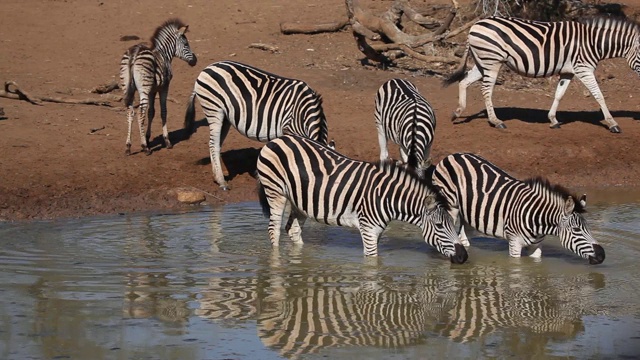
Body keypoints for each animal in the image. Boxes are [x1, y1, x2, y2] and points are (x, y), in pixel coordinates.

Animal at [120, 18, 198, 155]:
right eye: (186, 44)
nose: (195, 61)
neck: (164, 54)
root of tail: (134, 53)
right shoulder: (164, 87)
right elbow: (163, 111)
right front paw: (166, 141)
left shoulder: (153, 90)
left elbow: (151, 112)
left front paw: (147, 137)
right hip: (143, 90)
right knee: (140, 113)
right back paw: (145, 147)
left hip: (128, 87)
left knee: (130, 112)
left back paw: (128, 146)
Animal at [181, 61, 328, 191]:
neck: (304, 113)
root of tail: (207, 68)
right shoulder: (289, 130)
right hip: (213, 108)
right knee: (213, 144)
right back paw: (222, 182)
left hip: (225, 117)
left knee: (217, 144)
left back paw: (217, 177)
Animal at [256, 134, 470, 262]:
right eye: (440, 226)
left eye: (453, 223)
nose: (464, 257)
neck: (386, 196)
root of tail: (279, 139)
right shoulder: (368, 228)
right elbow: (372, 261)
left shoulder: (378, 230)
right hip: (275, 192)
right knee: (274, 230)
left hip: (301, 201)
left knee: (292, 229)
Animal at [430, 152, 604, 264]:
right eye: (576, 230)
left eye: (587, 227)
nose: (602, 255)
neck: (537, 219)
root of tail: (452, 155)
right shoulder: (514, 244)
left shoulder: (536, 246)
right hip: (450, 206)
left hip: (467, 209)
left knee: (463, 232)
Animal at [442, 16, 640, 133]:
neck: (594, 43)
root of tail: (475, 25)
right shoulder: (583, 68)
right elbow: (599, 95)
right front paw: (612, 123)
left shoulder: (567, 72)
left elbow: (559, 95)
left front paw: (553, 120)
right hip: (492, 61)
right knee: (486, 90)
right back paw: (496, 121)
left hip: (483, 62)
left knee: (464, 81)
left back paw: (457, 112)